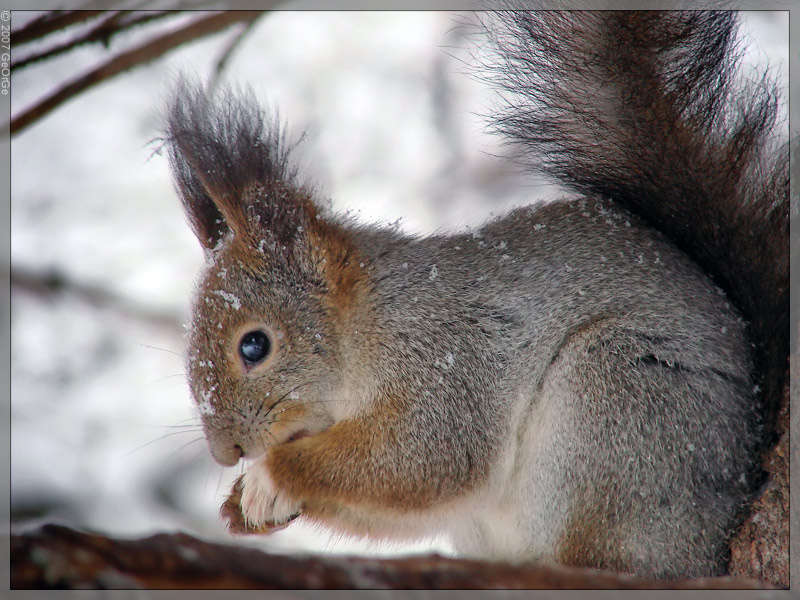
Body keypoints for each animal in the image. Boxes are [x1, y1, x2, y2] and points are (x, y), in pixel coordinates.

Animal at [163, 11, 788, 579]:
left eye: (254, 346)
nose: (225, 453)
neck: (367, 323)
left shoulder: (450, 359)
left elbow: (421, 459)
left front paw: (271, 475)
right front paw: (241, 505)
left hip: (624, 401)